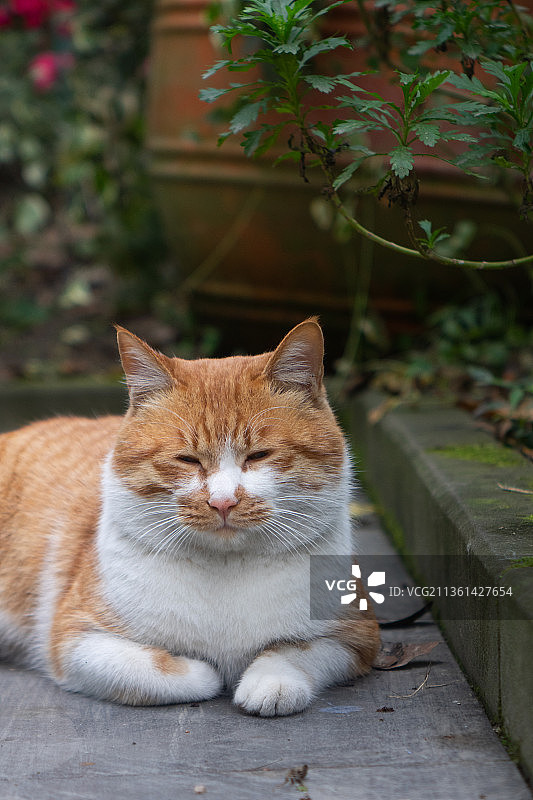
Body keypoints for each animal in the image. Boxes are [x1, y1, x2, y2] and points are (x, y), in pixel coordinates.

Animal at [0, 318, 378, 712]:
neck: (227, 571)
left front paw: (270, 682)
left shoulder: (356, 635)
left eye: (259, 455)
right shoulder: (76, 641)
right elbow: (178, 673)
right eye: (187, 459)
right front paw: (208, 672)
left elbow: (293, 653)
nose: (223, 502)